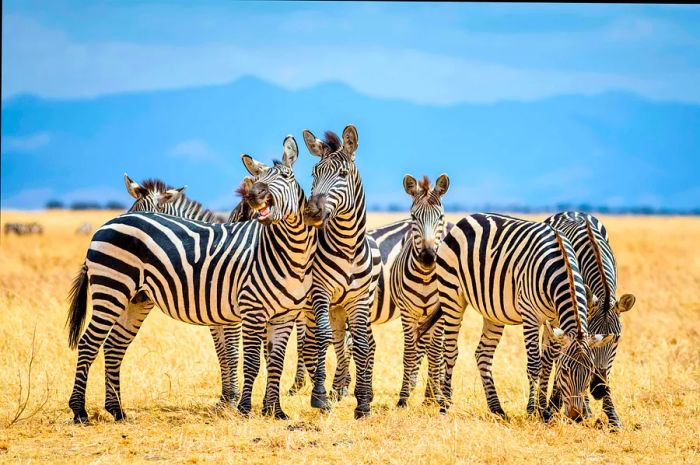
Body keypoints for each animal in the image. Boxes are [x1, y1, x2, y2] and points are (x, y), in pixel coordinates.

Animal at [67, 136, 316, 422]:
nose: (254, 196)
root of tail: (105, 226)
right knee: (89, 343)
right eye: (260, 178)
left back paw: (117, 410)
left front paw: (272, 410)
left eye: (286, 176)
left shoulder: (277, 315)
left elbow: (270, 360)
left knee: (113, 346)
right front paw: (238, 405)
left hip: (135, 299)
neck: (288, 251)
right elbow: (241, 357)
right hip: (112, 290)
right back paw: (80, 411)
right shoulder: (245, 312)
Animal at [298, 124, 380, 416]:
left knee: (348, 343)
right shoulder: (320, 292)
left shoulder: (358, 300)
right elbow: (322, 339)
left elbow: (362, 344)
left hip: (342, 308)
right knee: (323, 342)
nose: (311, 213)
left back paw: (344, 389)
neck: (348, 247)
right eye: (314, 173)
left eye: (343, 175)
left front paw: (363, 402)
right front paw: (320, 396)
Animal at [418, 214, 616, 420]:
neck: (561, 268)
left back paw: (497, 409)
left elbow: (547, 364)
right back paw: (445, 405)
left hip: (493, 312)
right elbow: (535, 365)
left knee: (483, 354)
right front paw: (532, 410)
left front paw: (544, 411)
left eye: (589, 372)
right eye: (565, 371)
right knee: (450, 350)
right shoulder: (530, 316)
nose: (576, 416)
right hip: (452, 295)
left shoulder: (554, 320)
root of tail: (466, 219)